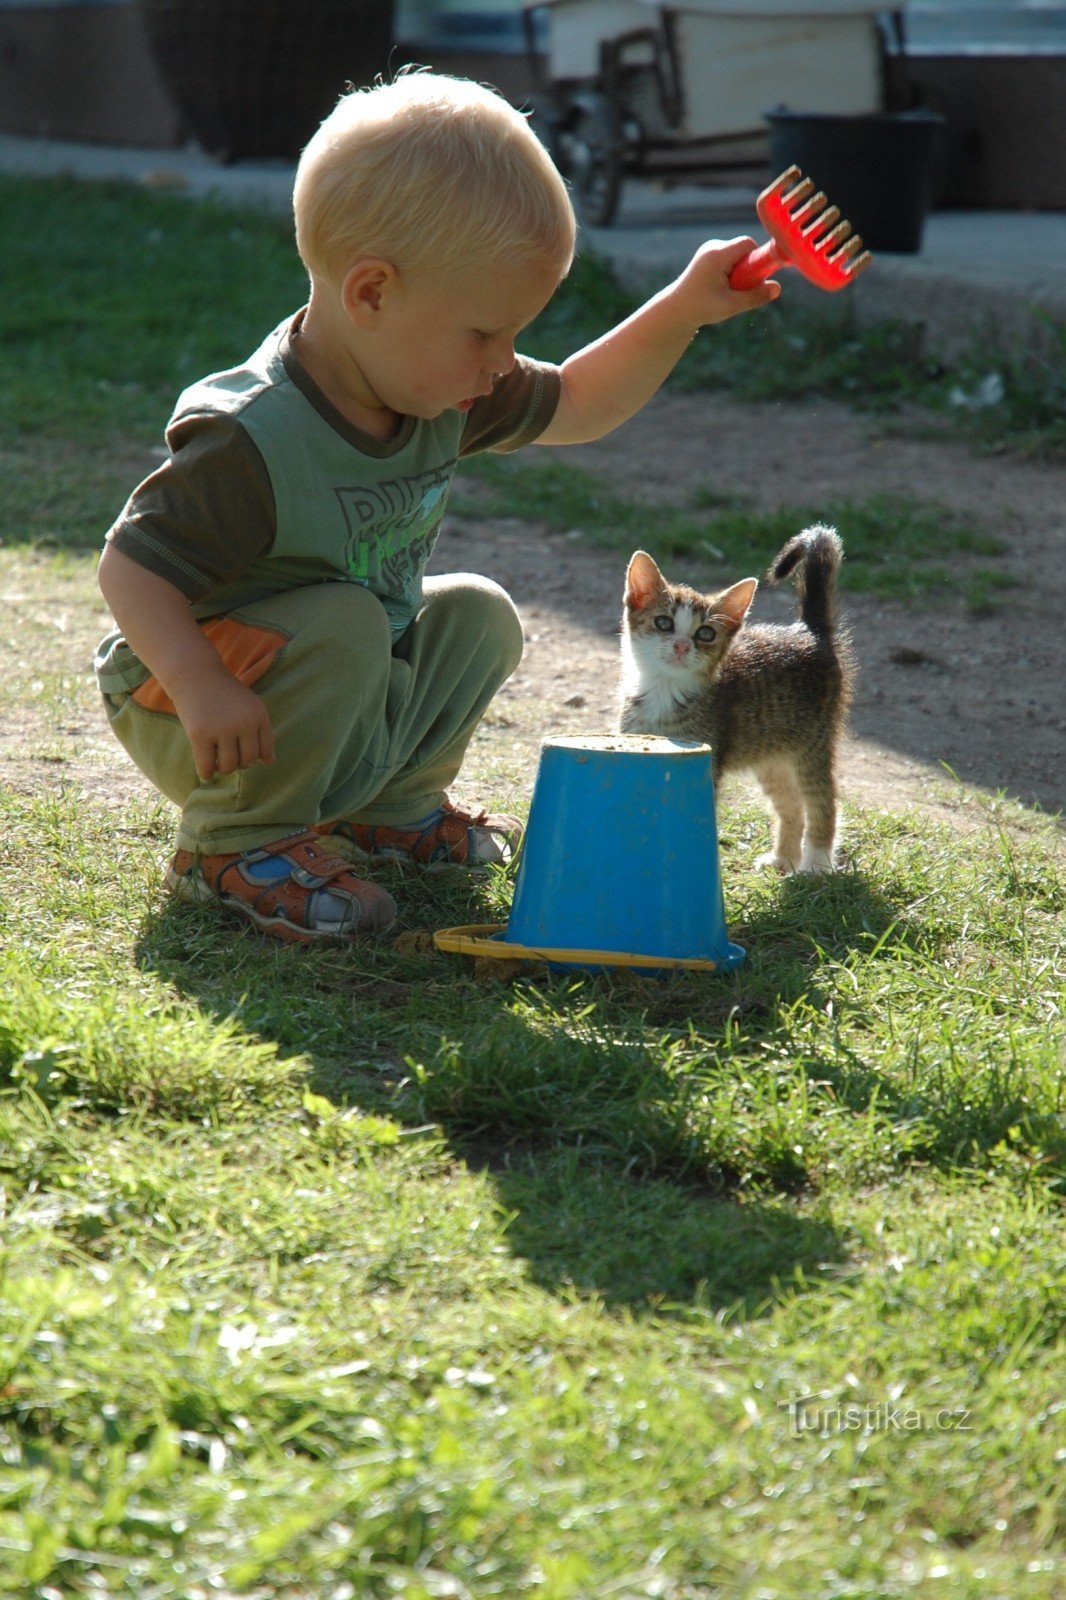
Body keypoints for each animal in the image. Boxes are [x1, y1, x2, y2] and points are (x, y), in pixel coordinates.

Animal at [614, 524, 857, 876]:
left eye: (705, 634)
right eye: (663, 623)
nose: (681, 646)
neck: (663, 689)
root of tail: (810, 632)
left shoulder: (708, 757)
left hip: (813, 744)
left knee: (821, 801)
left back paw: (816, 864)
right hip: (772, 756)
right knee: (791, 806)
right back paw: (783, 858)